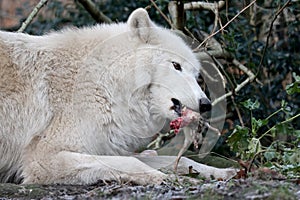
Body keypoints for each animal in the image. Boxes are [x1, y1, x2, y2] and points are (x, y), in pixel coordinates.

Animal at [0, 9, 234, 184]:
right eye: (176, 66)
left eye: (196, 75)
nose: (206, 104)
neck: (105, 85)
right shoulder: (43, 158)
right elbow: (134, 163)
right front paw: (165, 178)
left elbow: (183, 160)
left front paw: (221, 173)